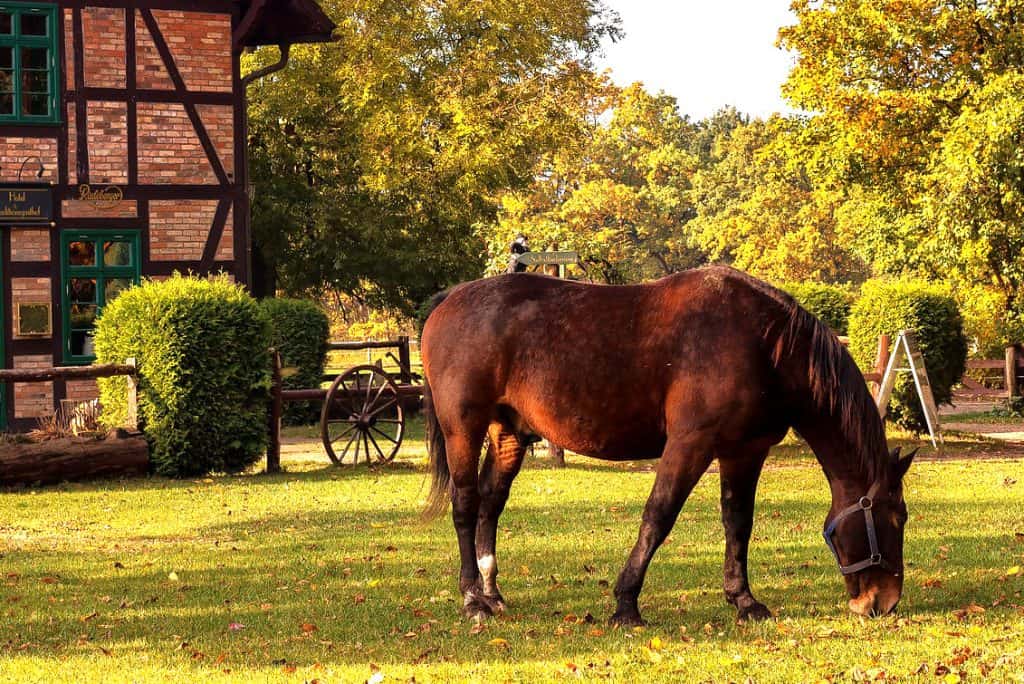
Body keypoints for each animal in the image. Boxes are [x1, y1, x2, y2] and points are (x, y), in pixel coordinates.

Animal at [419, 265, 915, 625]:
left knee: (490, 504)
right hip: (464, 429)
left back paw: (492, 593)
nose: (883, 602)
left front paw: (744, 600)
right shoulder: (690, 444)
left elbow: (738, 523)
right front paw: (625, 604)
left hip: (507, 434)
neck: (763, 344)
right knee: (465, 506)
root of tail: (451, 300)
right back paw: (473, 600)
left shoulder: (744, 451)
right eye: (897, 518)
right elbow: (658, 517)